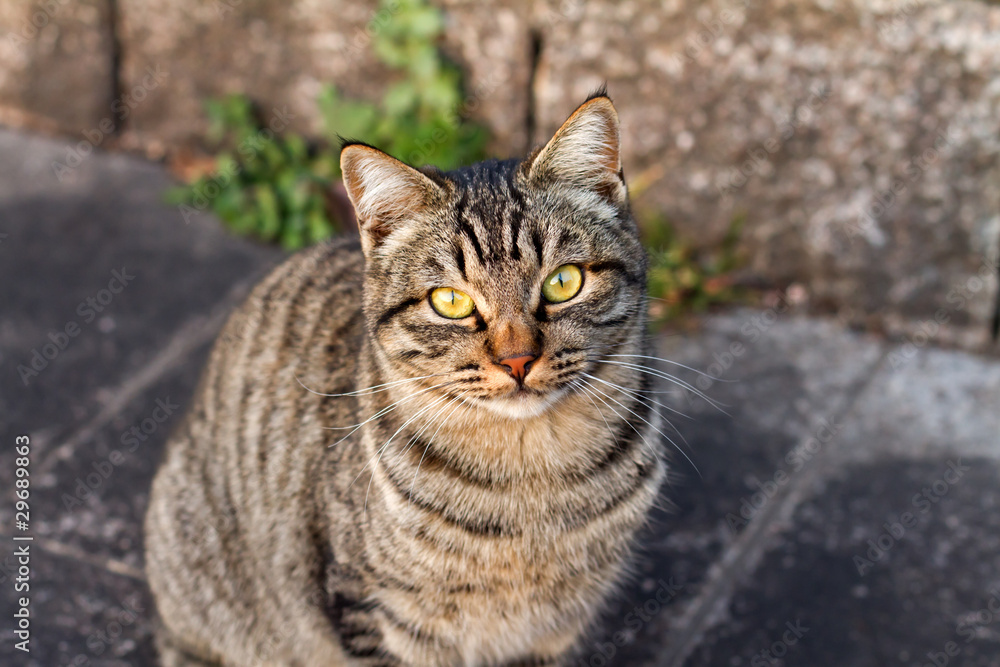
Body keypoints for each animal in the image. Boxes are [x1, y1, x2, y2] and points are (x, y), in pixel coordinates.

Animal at [145, 92, 668, 667]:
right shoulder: (370, 609)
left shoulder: (554, 628)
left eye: (563, 282)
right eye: (451, 301)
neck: (530, 480)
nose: (517, 360)